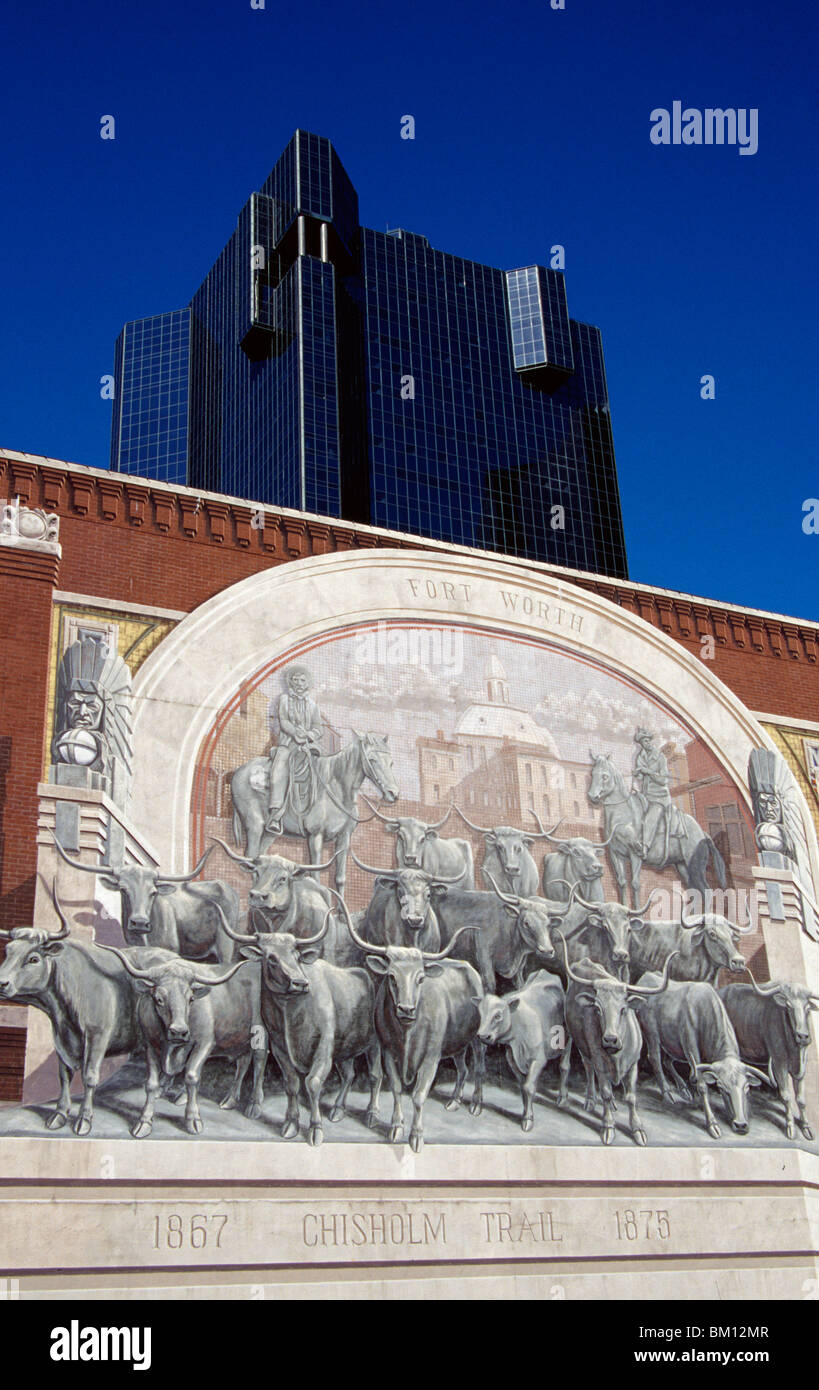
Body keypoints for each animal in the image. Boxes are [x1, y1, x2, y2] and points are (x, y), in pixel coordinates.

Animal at [229, 733, 400, 895]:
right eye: (372, 759)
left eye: (391, 762)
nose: (393, 793)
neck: (335, 788)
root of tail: (239, 771)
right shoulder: (316, 836)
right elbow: (316, 878)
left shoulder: (344, 838)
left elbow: (340, 879)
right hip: (254, 826)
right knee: (250, 860)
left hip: (270, 833)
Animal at [586, 750, 723, 911]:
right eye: (592, 773)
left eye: (605, 776)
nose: (592, 796)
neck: (622, 818)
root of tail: (702, 833)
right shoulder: (615, 855)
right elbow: (622, 882)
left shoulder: (635, 855)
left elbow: (635, 883)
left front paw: (638, 913)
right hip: (682, 866)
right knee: (694, 890)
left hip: (694, 865)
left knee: (706, 891)